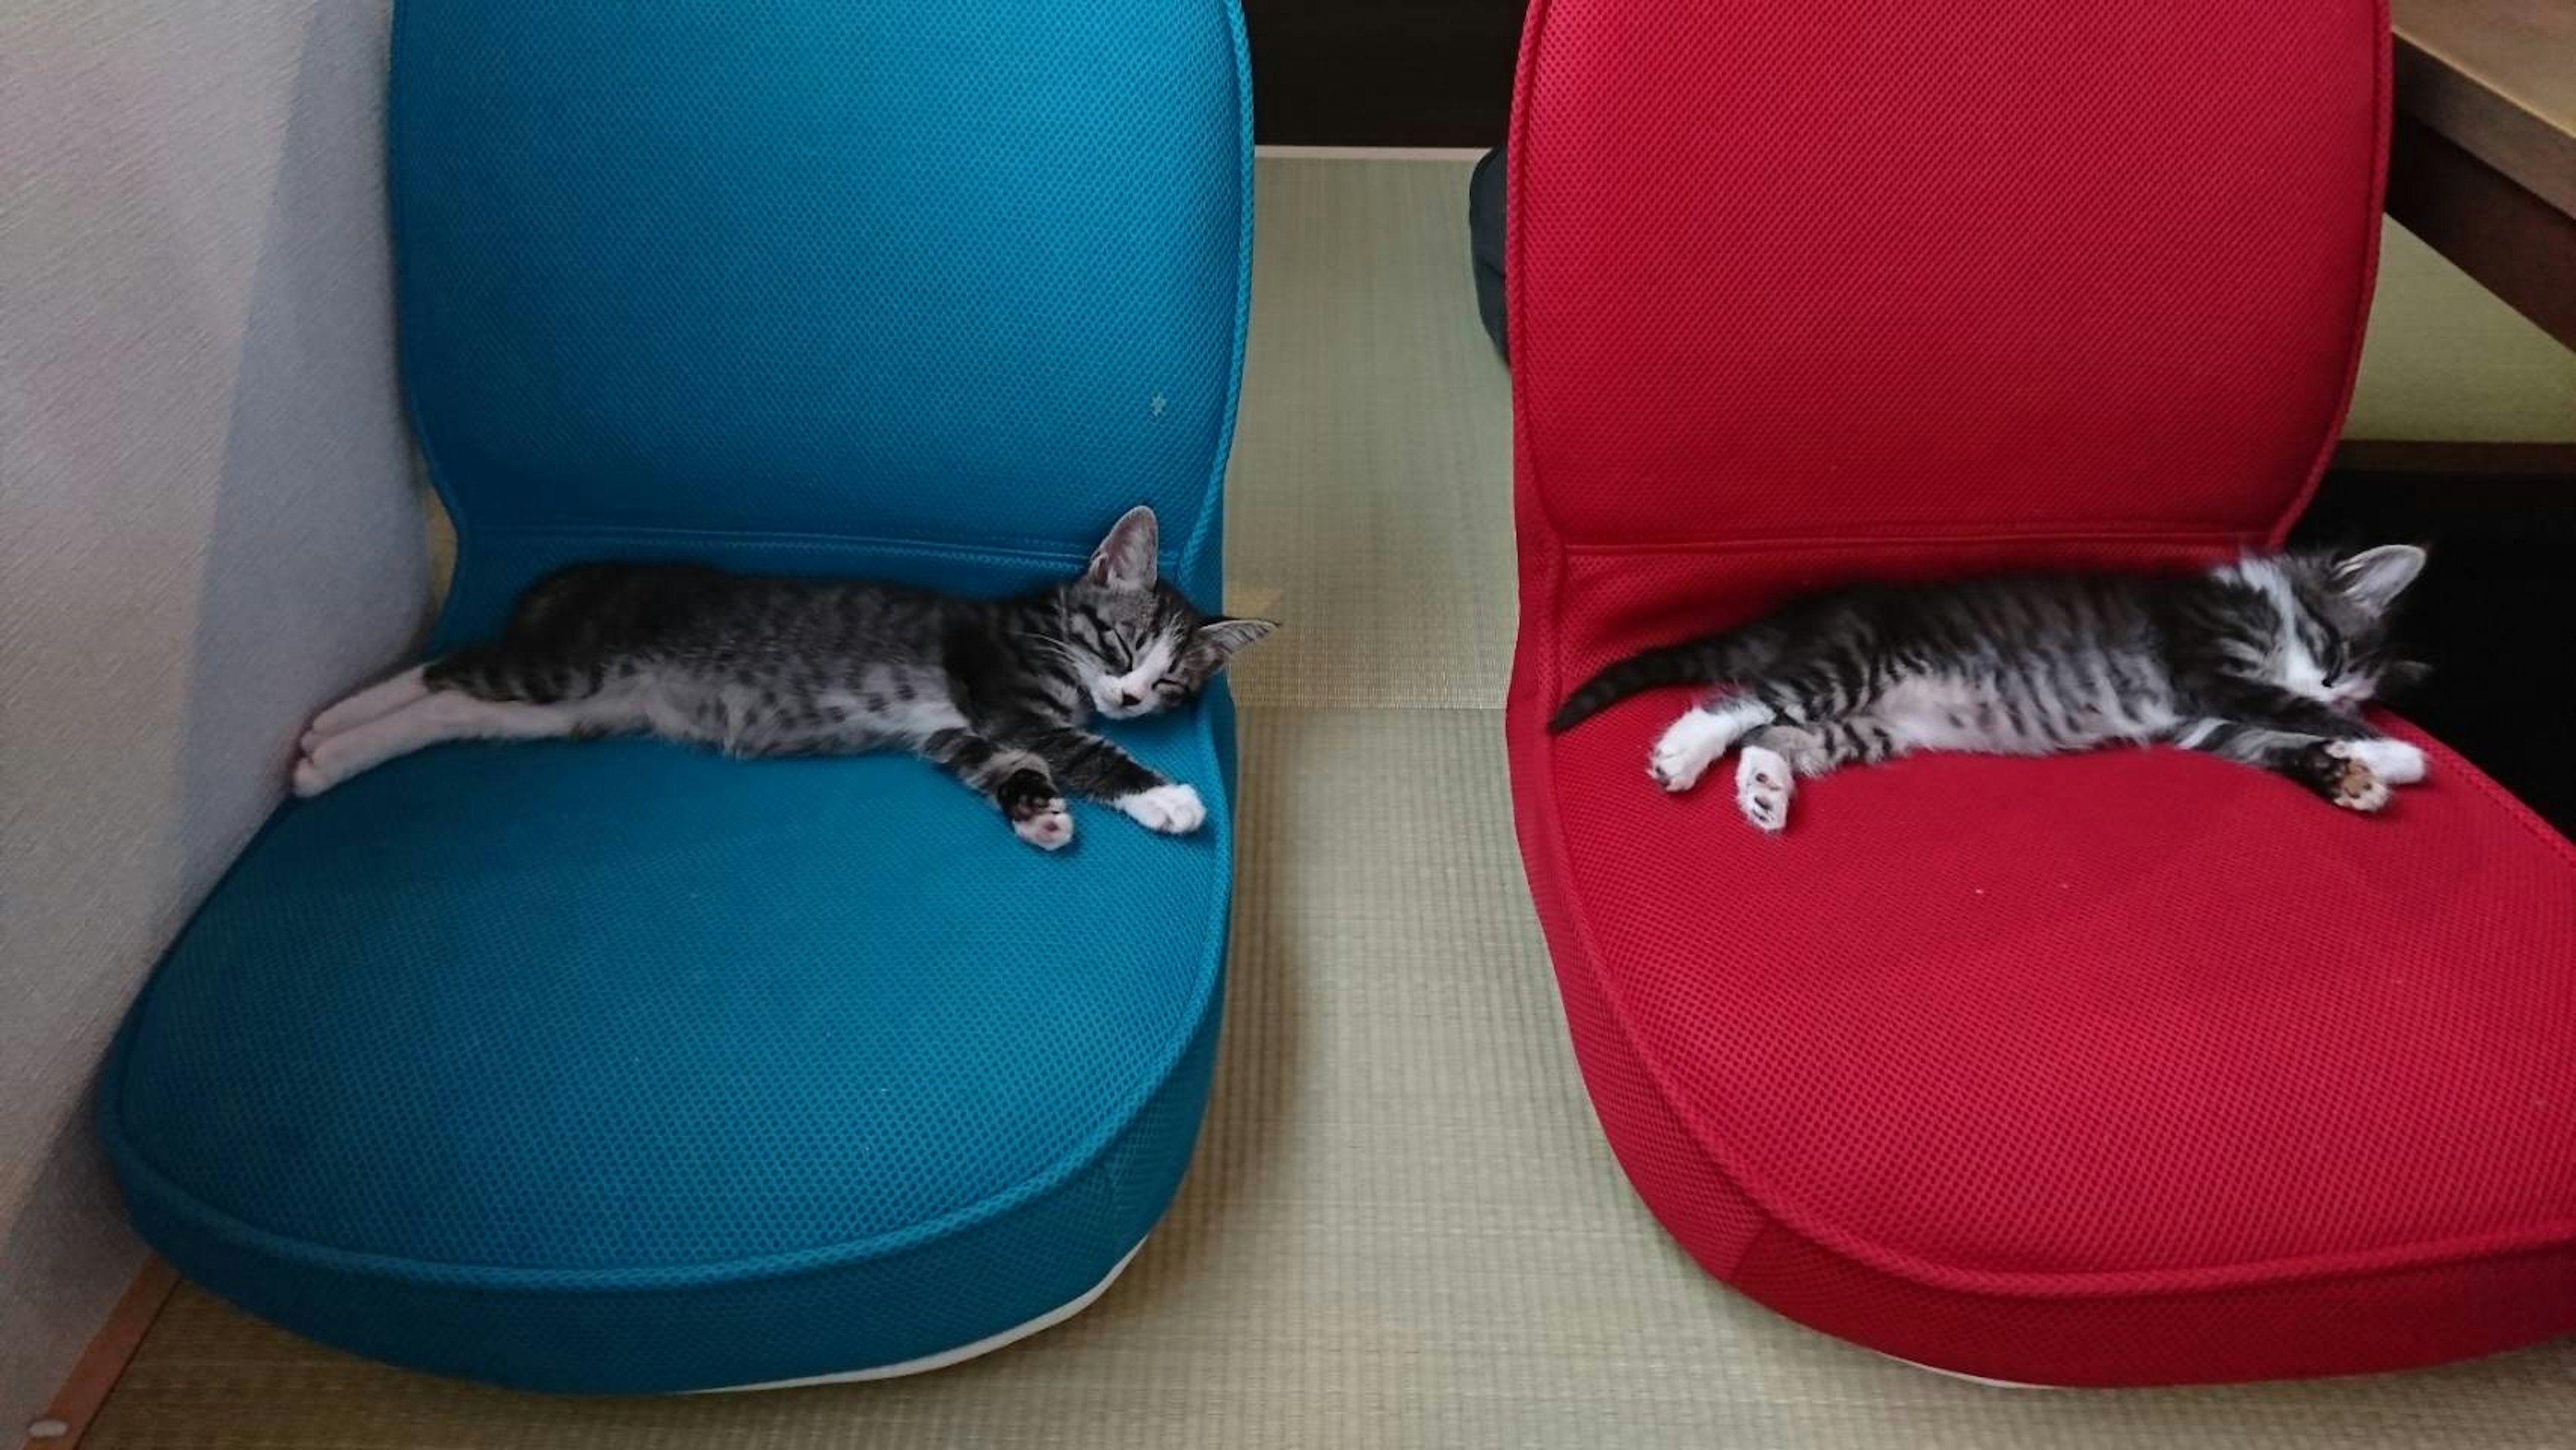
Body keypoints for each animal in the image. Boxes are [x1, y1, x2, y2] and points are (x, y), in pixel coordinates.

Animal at [290, 509, 1267, 849]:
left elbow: (1003, 765)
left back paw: (323, 747)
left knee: (451, 703)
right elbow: (1083, 750)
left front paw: (1038, 814)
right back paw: (322, 741)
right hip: (571, 663)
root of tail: (577, 577)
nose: (1133, 698)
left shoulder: (953, 729)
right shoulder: (1002, 695)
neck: (1041, 627)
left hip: (573, 708)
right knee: (445, 668)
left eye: (1172, 682)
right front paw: (1166, 796)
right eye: (1120, 644)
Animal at [1546, 548, 2431, 839]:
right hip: (1851, 666)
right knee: (1742, 700)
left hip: (1873, 722)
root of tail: (1818, 609)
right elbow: (2285, 711)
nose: (2332, 681)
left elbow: (2270, 741)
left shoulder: (2200, 724)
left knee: (1776, 733)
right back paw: (1684, 752)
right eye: (2333, 653)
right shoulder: (2206, 665)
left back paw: (1765, 789)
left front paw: (2362, 770)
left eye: (2352, 668)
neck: (2260, 604)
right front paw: (2397, 748)